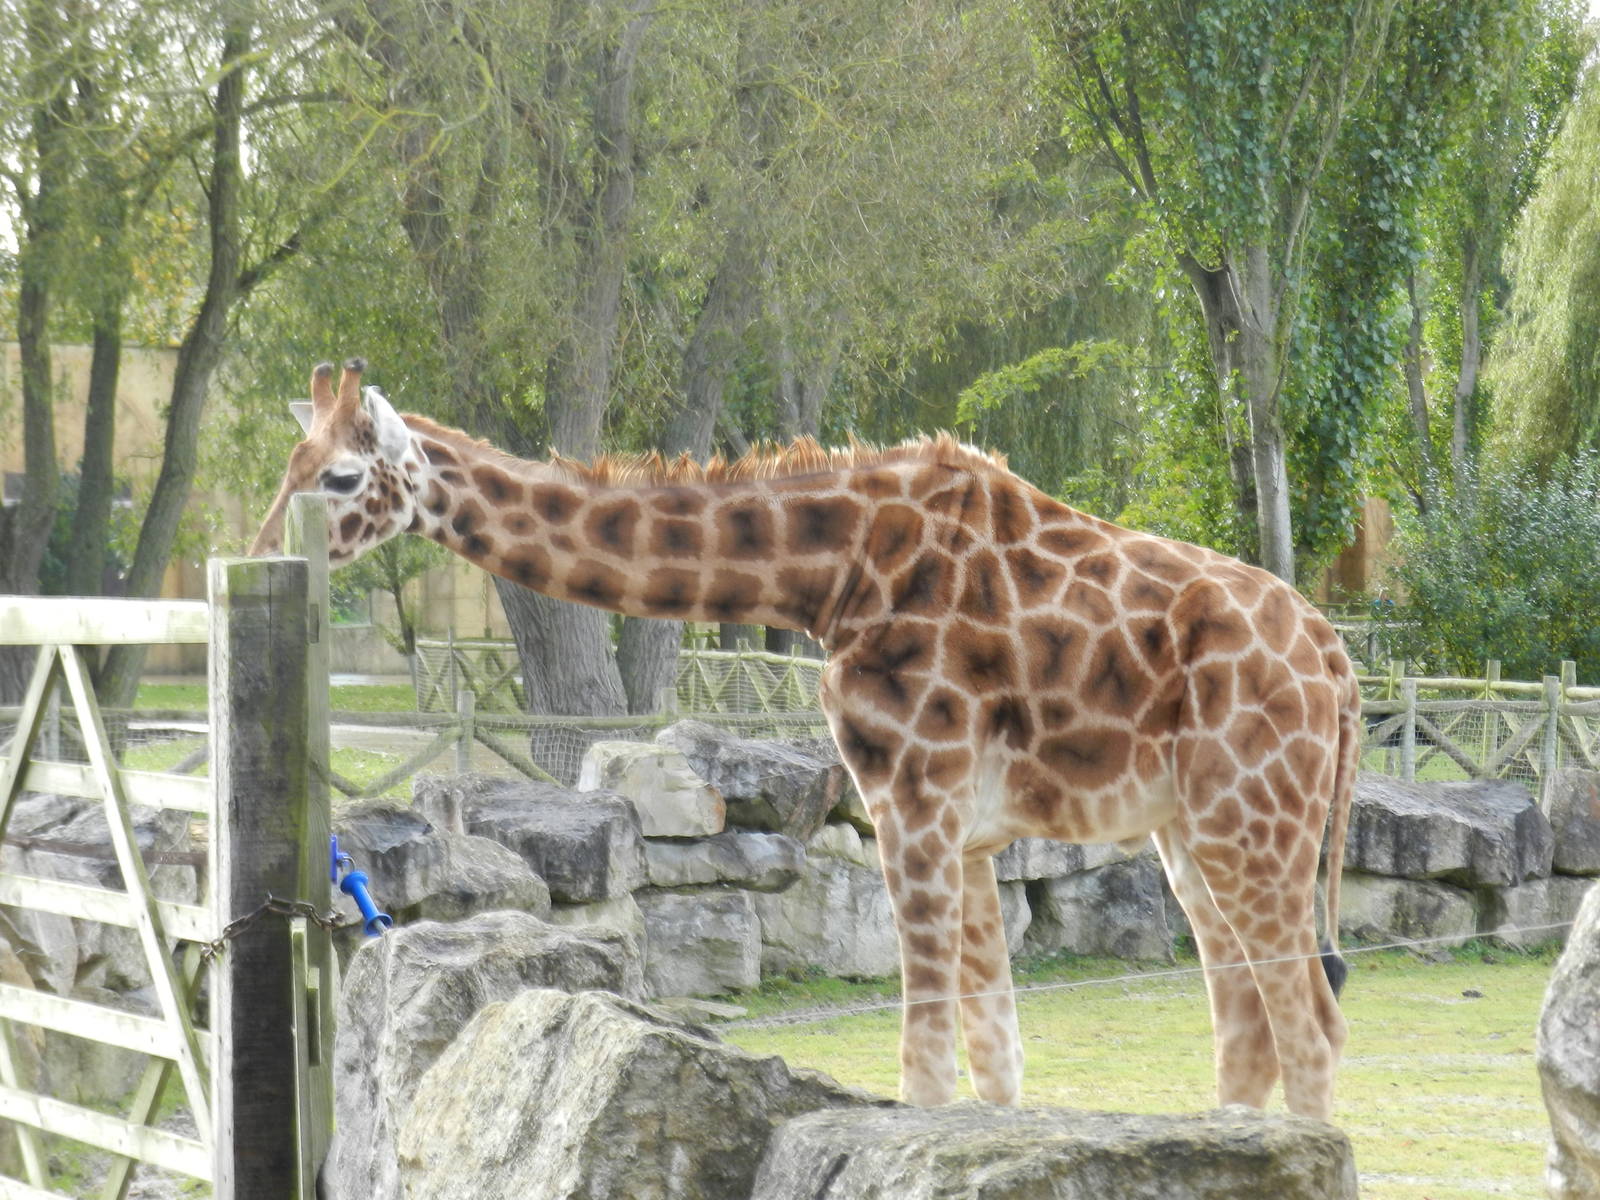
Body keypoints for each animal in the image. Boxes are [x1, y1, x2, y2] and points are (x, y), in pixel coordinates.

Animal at [252, 358, 1358, 1120]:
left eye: (341, 477)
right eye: (288, 464)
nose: (259, 555)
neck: (828, 575)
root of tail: (1338, 666)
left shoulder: (915, 795)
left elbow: (926, 1065)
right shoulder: (964, 829)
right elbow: (993, 1062)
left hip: (1252, 822)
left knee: (1309, 1027)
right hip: (1191, 833)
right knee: (1251, 1024)